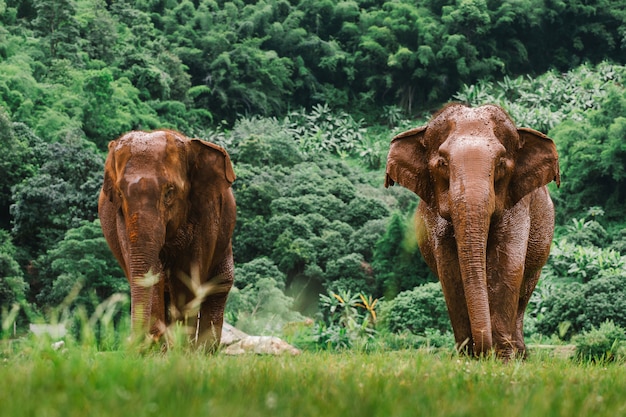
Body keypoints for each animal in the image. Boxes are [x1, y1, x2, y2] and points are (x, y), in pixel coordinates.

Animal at [98, 128, 235, 350]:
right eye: (120, 193)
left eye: (169, 192)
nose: (137, 345)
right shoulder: (121, 221)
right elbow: (154, 277)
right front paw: (159, 351)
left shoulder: (206, 214)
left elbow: (187, 279)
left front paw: (181, 350)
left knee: (219, 285)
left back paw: (203, 352)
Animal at [382, 103, 560, 358]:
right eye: (442, 163)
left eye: (501, 164)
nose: (482, 351)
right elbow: (450, 271)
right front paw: (468, 358)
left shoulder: (518, 205)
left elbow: (507, 266)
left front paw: (503, 360)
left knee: (523, 293)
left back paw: (520, 355)